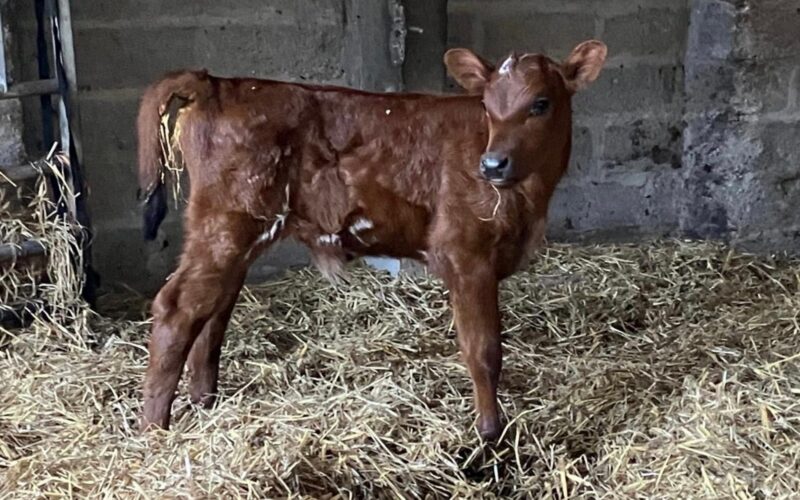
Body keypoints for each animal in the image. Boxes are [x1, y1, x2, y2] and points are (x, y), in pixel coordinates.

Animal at [136, 40, 607, 440]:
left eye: (541, 104)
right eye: (488, 107)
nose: (492, 164)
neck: (530, 198)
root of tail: (217, 83)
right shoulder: (465, 253)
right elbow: (484, 351)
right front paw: (489, 433)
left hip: (235, 234)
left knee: (212, 311)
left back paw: (204, 403)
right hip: (225, 224)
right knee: (178, 308)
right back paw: (154, 430)